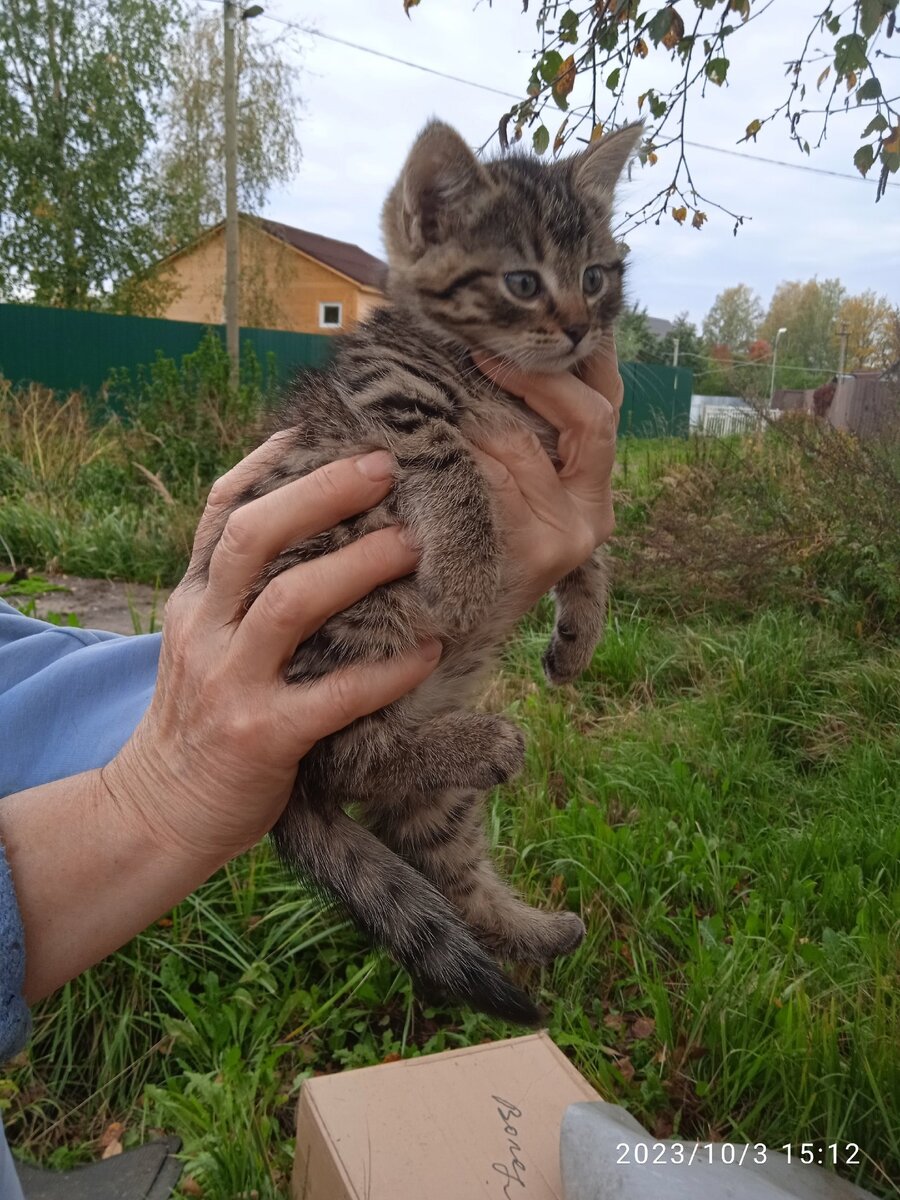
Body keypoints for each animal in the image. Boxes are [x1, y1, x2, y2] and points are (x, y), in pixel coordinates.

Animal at [200, 119, 643, 1022]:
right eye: (522, 281)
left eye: (594, 274)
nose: (581, 327)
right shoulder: (393, 392)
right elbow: (448, 460)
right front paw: (471, 573)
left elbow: (594, 545)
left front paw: (581, 631)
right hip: (358, 612)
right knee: (340, 757)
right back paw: (488, 739)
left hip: (434, 788)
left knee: (438, 854)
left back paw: (536, 928)